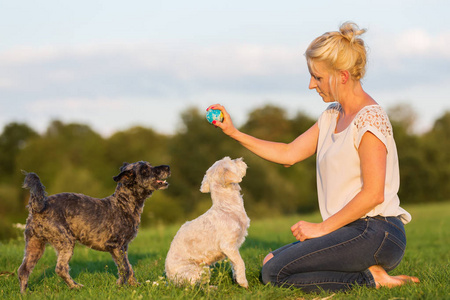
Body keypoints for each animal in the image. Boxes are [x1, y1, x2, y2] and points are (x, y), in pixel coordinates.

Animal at [17, 162, 171, 292]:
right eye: (145, 170)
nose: (168, 167)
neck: (123, 204)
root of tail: (38, 208)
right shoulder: (115, 245)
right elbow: (125, 268)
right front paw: (120, 286)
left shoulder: (124, 246)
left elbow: (129, 266)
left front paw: (134, 284)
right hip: (66, 241)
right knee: (60, 268)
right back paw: (75, 286)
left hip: (35, 245)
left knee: (23, 270)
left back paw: (25, 293)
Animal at [165, 156, 250, 288]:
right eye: (231, 161)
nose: (240, 159)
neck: (226, 207)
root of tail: (170, 281)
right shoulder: (228, 246)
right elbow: (240, 262)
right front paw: (244, 283)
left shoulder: (233, 249)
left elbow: (234, 265)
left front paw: (237, 279)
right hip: (197, 270)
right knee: (192, 287)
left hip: (204, 269)